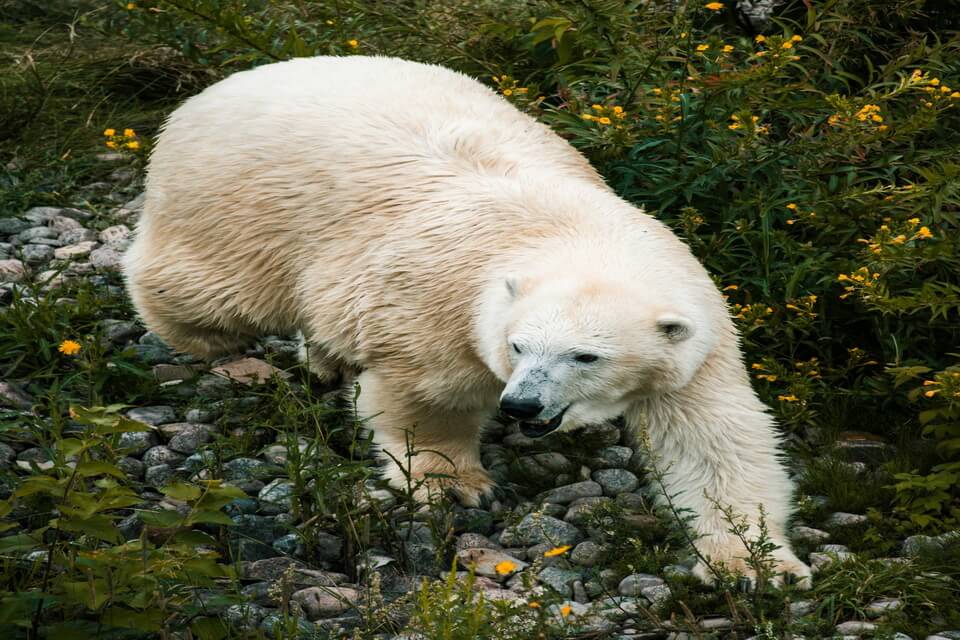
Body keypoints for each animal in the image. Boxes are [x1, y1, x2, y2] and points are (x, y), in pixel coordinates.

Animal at [120, 53, 808, 584]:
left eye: (586, 355)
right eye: (519, 346)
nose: (523, 406)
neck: (573, 233)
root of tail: (222, 85)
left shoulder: (699, 339)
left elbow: (715, 442)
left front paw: (757, 565)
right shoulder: (440, 304)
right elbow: (429, 395)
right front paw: (455, 483)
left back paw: (324, 359)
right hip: (240, 209)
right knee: (208, 290)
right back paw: (219, 345)